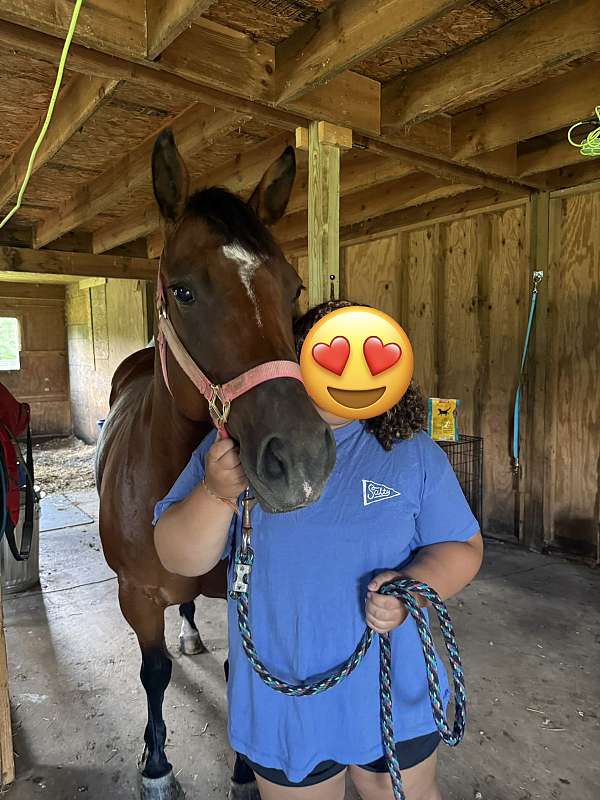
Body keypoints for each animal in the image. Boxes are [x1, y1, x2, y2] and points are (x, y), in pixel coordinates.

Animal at [96, 129, 336, 800]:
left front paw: (245, 772)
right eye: (182, 289)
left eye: (293, 288)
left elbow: (238, 670)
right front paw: (156, 767)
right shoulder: (135, 594)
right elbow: (153, 673)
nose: (300, 457)